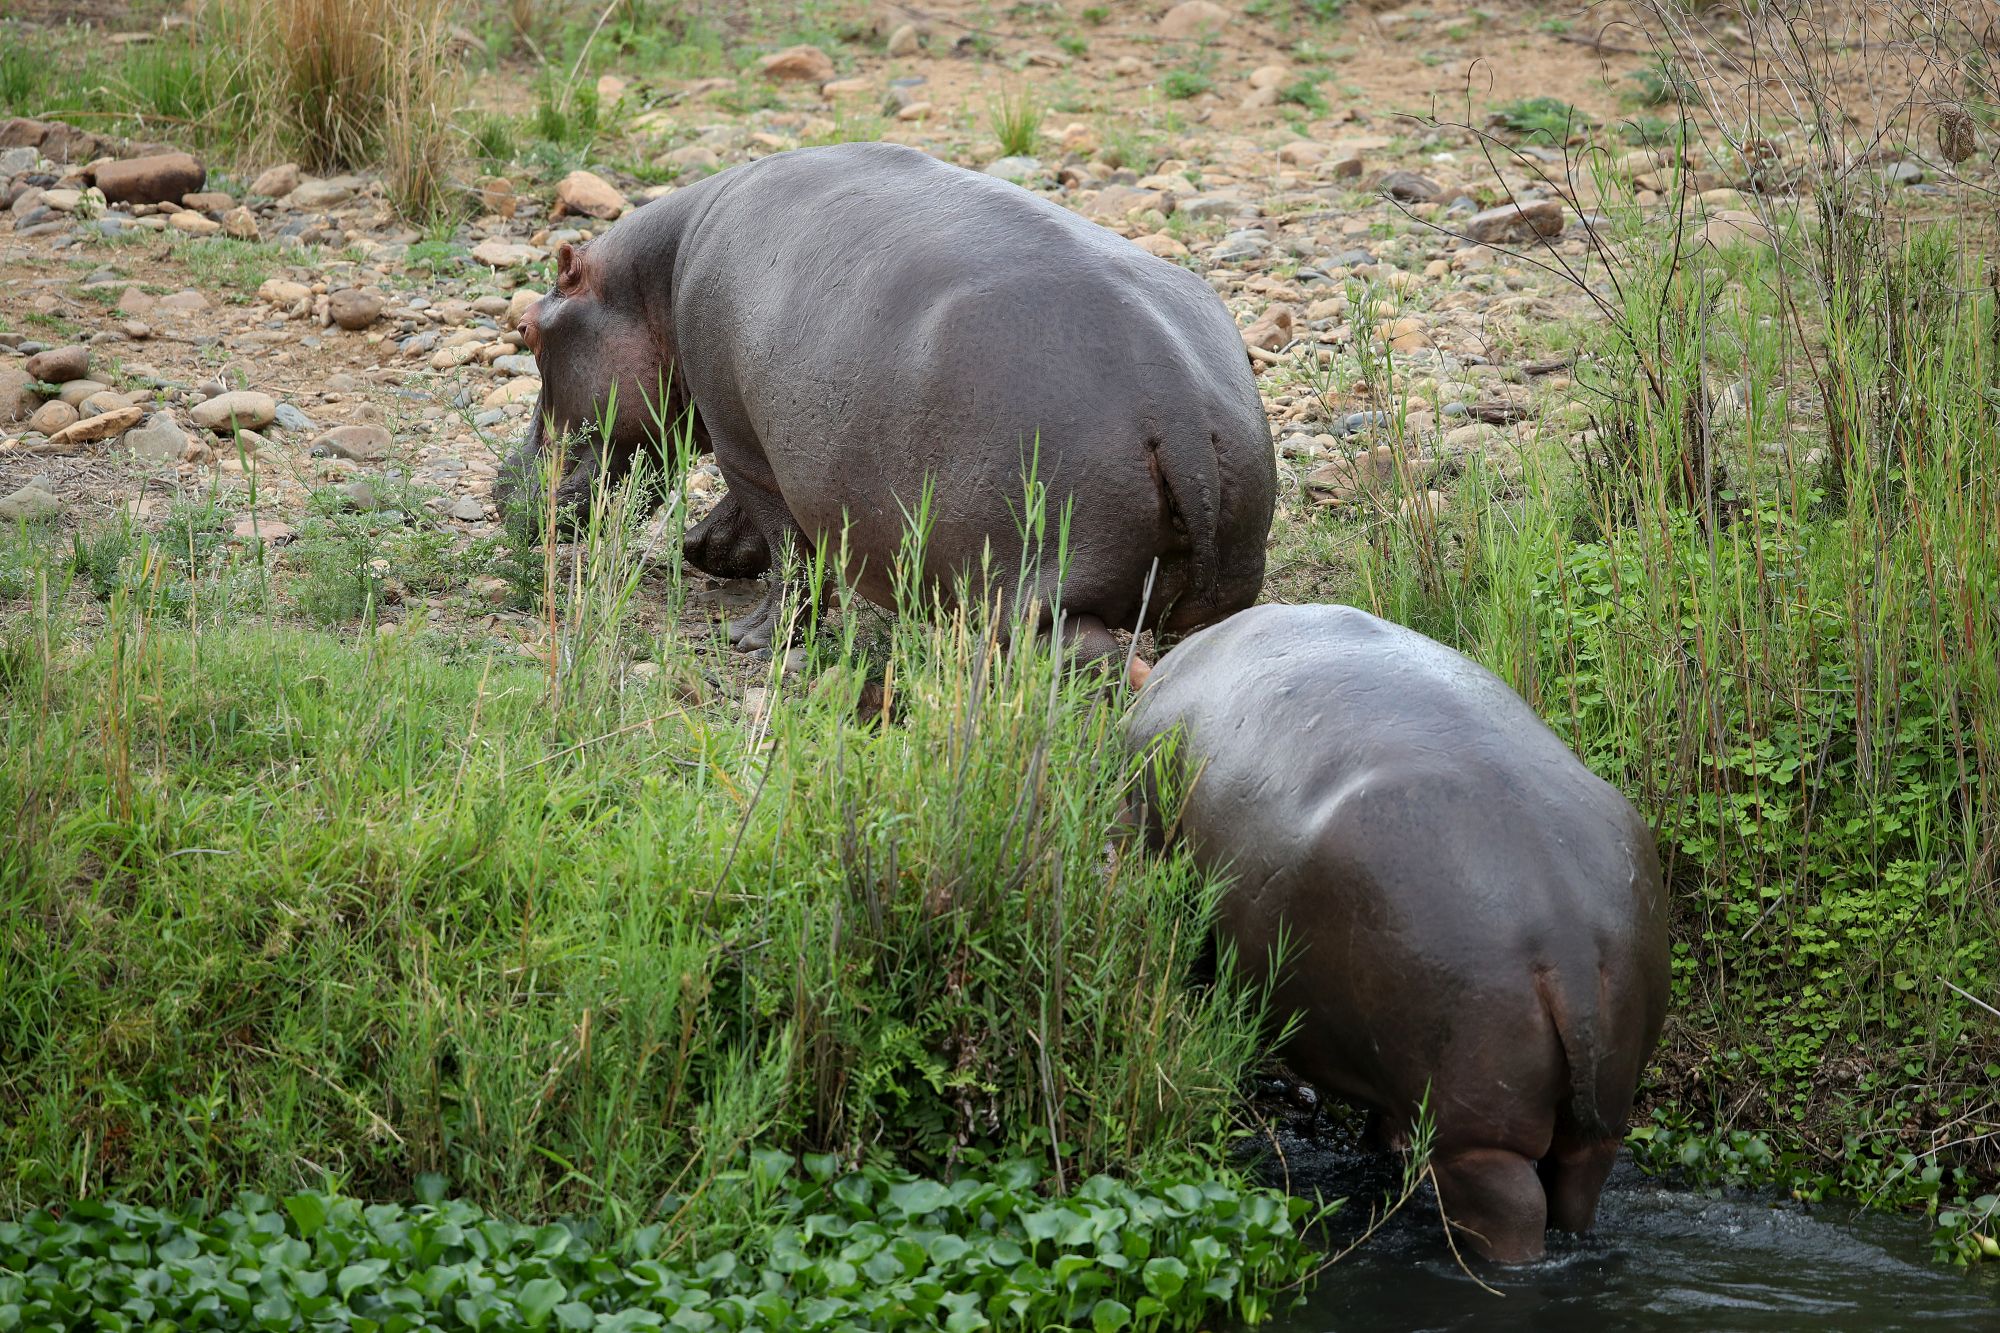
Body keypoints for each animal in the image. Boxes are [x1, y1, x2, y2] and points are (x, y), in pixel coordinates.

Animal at [494, 139, 1272, 652]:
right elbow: (757, 525)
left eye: (526, 330)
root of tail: (1176, 413)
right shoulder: (763, 437)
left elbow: (788, 545)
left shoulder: (742, 438)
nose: (503, 485)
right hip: (1219, 583)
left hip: (1041, 583)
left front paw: (751, 637)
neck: (650, 279)